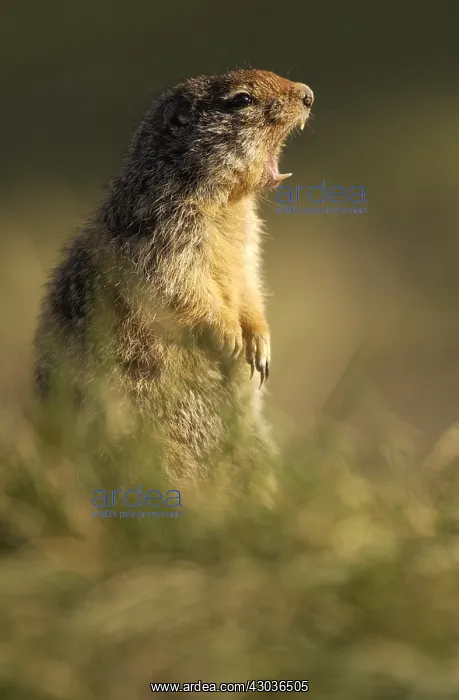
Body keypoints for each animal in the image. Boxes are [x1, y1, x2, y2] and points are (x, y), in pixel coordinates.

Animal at [34, 69, 314, 478]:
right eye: (241, 100)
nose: (308, 94)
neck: (228, 204)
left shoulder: (248, 242)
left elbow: (250, 283)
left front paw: (260, 343)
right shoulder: (166, 232)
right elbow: (178, 283)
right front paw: (229, 335)